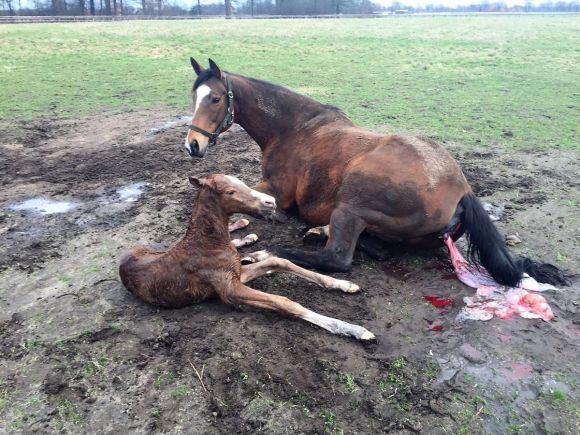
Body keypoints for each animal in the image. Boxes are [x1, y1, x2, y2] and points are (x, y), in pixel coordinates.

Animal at [119, 175, 374, 342]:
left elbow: (279, 261)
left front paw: (344, 284)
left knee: (240, 243)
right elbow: (285, 302)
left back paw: (247, 234)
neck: (209, 243)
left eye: (242, 183)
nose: (271, 202)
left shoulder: (237, 276)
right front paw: (353, 329)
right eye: (230, 192)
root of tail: (125, 258)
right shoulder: (229, 289)